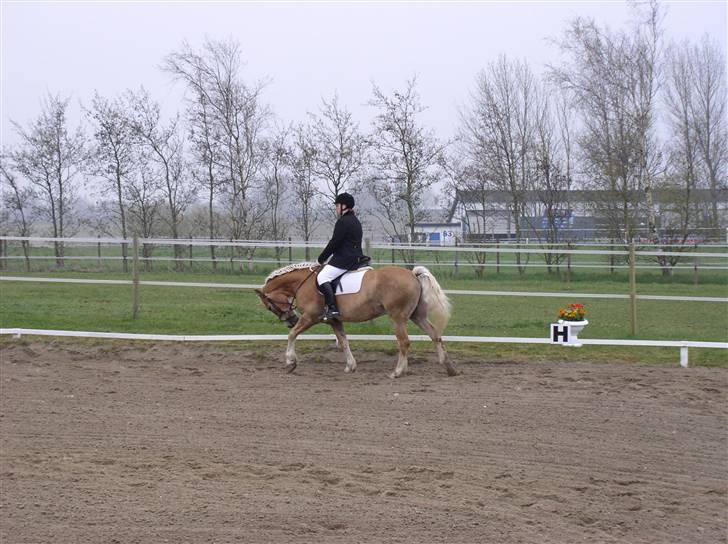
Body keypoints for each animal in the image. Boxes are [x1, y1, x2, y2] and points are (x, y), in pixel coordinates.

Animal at [253, 264, 452, 378]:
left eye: (270, 306)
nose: (291, 320)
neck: (304, 282)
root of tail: (412, 274)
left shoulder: (310, 317)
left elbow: (292, 335)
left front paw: (290, 362)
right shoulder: (334, 321)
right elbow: (343, 342)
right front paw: (350, 366)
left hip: (398, 318)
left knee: (404, 342)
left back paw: (397, 372)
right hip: (416, 316)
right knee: (435, 335)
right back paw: (447, 367)